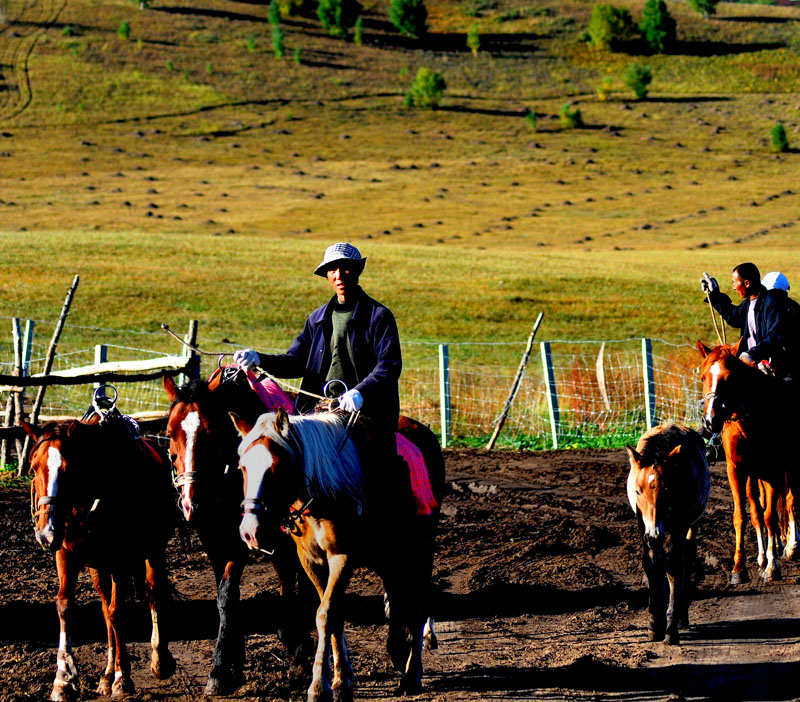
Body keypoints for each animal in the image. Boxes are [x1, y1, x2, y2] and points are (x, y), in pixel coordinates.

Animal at [23, 410, 175, 700]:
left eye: (68, 469)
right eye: (33, 468)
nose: (46, 533)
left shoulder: (121, 560)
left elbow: (118, 612)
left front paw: (123, 678)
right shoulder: (66, 554)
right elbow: (66, 606)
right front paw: (63, 680)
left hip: (153, 549)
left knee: (153, 593)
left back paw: (159, 660)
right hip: (98, 566)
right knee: (105, 610)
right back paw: (106, 675)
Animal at [163, 366, 312, 696]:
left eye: (209, 432)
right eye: (169, 432)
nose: (190, 503)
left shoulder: (239, 543)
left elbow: (228, 593)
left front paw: (220, 669)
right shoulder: (213, 541)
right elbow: (224, 599)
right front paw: (235, 662)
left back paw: (299, 648)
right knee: (285, 572)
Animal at [231, 410, 446, 702]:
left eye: (276, 467)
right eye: (242, 467)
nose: (250, 531)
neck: (324, 492)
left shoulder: (342, 557)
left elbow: (326, 614)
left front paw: (319, 687)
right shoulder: (310, 560)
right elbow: (335, 614)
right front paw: (342, 680)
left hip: (420, 547)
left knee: (418, 603)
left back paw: (412, 675)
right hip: (388, 554)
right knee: (396, 595)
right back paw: (398, 653)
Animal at [628, 426, 708, 648]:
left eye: (667, 490)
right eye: (637, 491)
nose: (655, 534)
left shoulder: (679, 527)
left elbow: (673, 568)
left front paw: (671, 629)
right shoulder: (643, 527)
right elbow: (651, 566)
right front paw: (655, 624)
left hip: (691, 525)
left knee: (688, 556)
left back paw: (682, 616)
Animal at [696, 340, 796, 584]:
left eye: (730, 377)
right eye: (703, 377)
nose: (711, 421)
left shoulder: (774, 471)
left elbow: (770, 516)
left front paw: (772, 567)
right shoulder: (737, 470)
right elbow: (743, 516)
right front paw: (739, 568)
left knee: (789, 501)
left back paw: (791, 546)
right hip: (756, 476)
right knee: (758, 510)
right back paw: (765, 555)